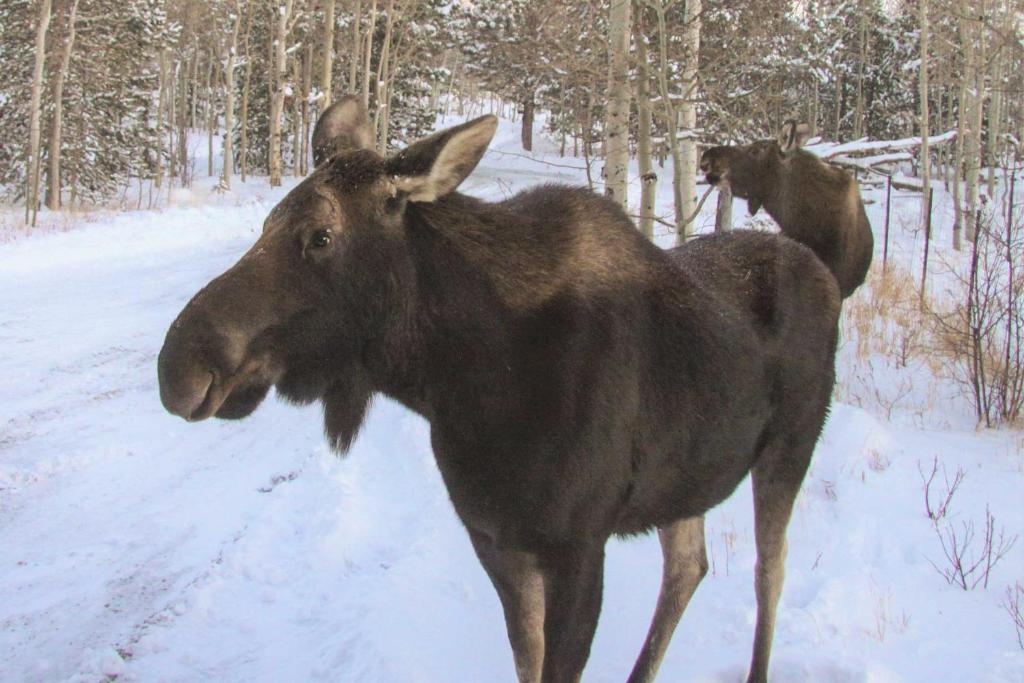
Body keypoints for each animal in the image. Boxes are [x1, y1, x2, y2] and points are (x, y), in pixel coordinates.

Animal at [153, 97, 839, 683]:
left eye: (320, 235)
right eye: (267, 222)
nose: (179, 368)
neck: (467, 384)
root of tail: (827, 271)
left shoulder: (578, 546)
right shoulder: (496, 540)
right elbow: (525, 658)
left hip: (792, 445)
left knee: (768, 571)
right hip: (686, 480)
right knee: (689, 565)